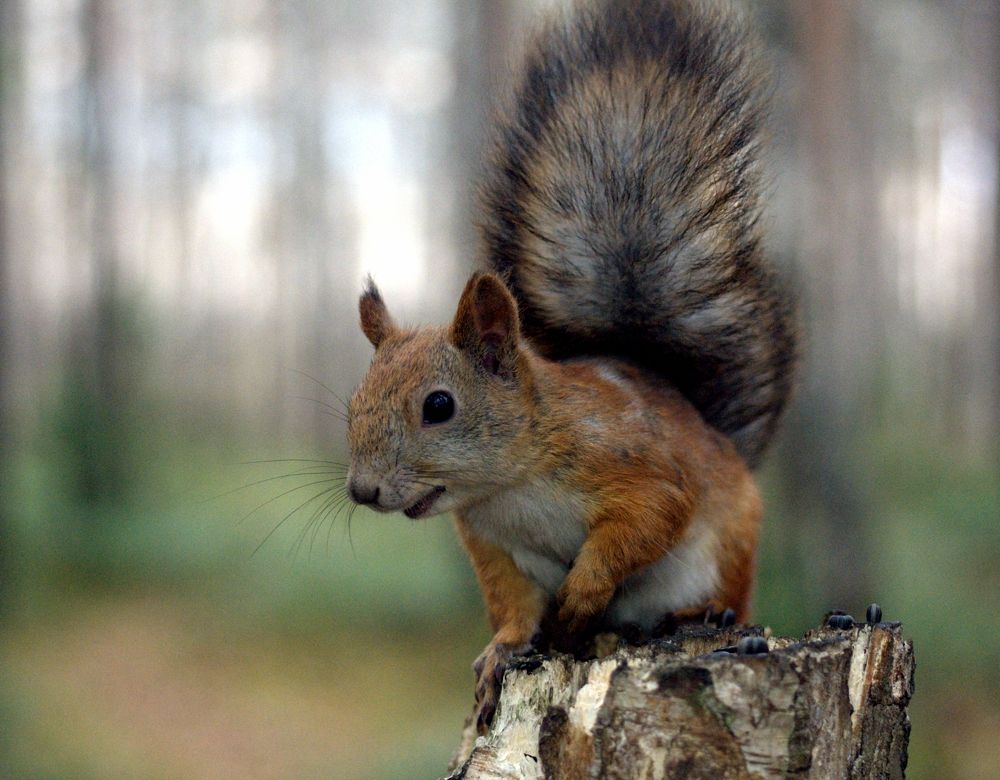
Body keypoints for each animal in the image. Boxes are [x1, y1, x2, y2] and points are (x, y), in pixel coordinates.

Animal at [346, 0, 796, 733]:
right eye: (353, 406)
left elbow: (645, 520)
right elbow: (512, 605)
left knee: (727, 593)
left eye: (438, 406)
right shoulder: (493, 545)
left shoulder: (633, 463)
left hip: (727, 546)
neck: (510, 484)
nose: (362, 490)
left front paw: (584, 592)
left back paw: (700, 610)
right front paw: (502, 650)